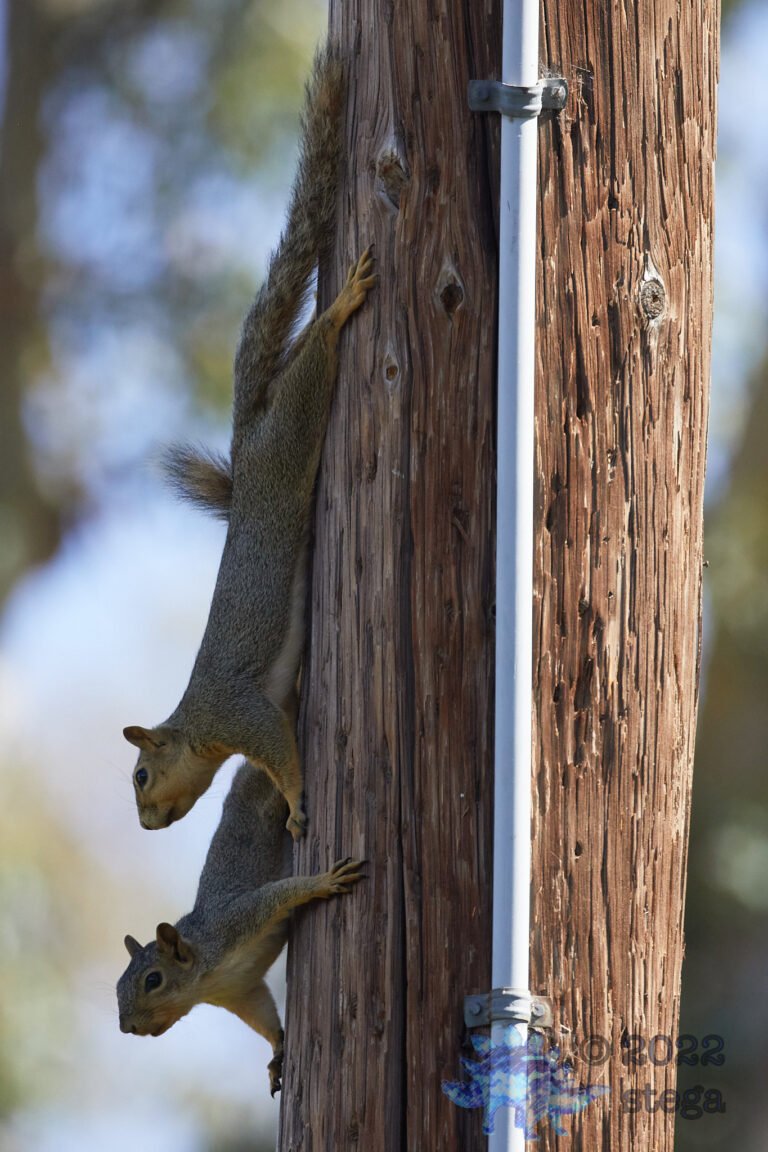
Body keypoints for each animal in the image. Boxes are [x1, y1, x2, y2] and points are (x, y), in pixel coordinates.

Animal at [117, 761, 365, 1095]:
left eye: (153, 980)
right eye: (118, 987)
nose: (127, 1027)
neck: (207, 977)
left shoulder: (237, 921)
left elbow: (280, 894)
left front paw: (323, 881)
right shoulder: (241, 992)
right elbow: (263, 1016)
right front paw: (277, 1053)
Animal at [122, 45, 376, 837]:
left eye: (140, 774)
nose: (147, 824)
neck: (196, 725)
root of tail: (248, 430)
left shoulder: (240, 714)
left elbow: (281, 752)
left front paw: (295, 803)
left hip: (289, 437)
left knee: (315, 365)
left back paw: (341, 307)